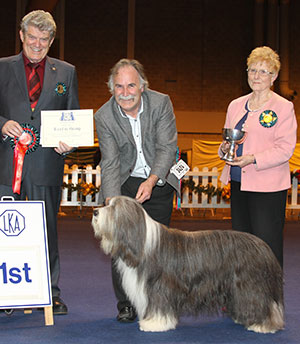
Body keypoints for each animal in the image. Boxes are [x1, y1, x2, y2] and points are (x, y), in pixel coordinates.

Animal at [91, 195, 284, 332]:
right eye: (107, 203)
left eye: (113, 208)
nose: (95, 212)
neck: (141, 241)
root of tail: (262, 245)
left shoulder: (160, 285)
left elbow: (159, 305)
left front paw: (154, 324)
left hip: (249, 284)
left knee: (260, 301)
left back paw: (262, 325)